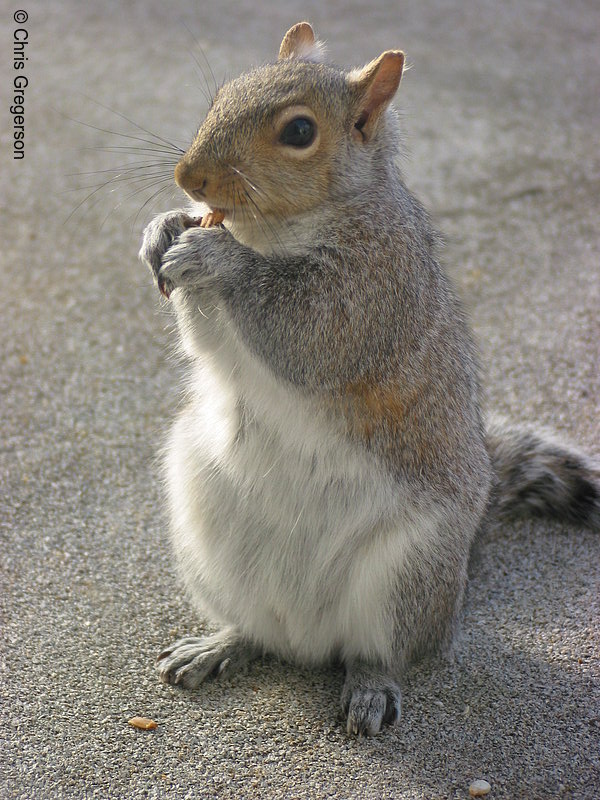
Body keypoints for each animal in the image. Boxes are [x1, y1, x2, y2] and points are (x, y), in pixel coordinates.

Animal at [137, 21, 600, 736]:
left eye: (300, 132)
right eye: (222, 94)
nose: (189, 175)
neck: (272, 231)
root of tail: (306, 637)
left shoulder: (376, 286)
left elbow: (308, 332)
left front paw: (217, 256)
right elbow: (207, 340)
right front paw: (163, 226)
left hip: (406, 571)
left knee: (380, 649)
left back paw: (370, 687)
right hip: (206, 533)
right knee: (257, 632)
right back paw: (219, 645)